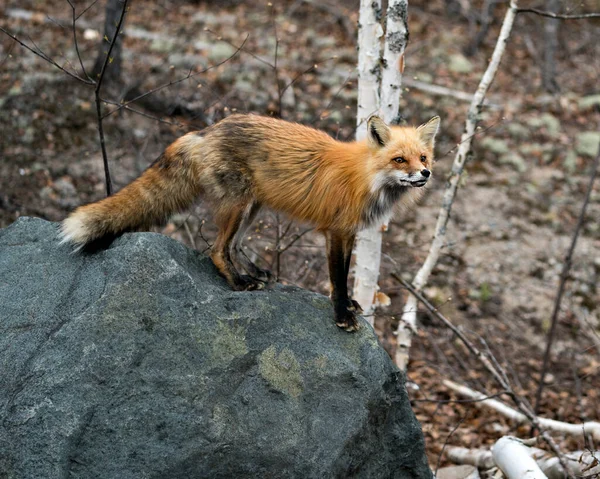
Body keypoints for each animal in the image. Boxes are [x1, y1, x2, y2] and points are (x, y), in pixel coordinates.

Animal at [61, 114, 440, 332]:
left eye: (423, 157)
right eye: (399, 159)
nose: (425, 174)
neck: (366, 179)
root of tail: (205, 130)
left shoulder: (348, 233)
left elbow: (344, 277)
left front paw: (348, 306)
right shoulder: (335, 232)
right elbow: (338, 277)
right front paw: (341, 315)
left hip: (253, 206)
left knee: (235, 244)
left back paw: (254, 273)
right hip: (238, 204)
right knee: (216, 250)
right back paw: (239, 282)